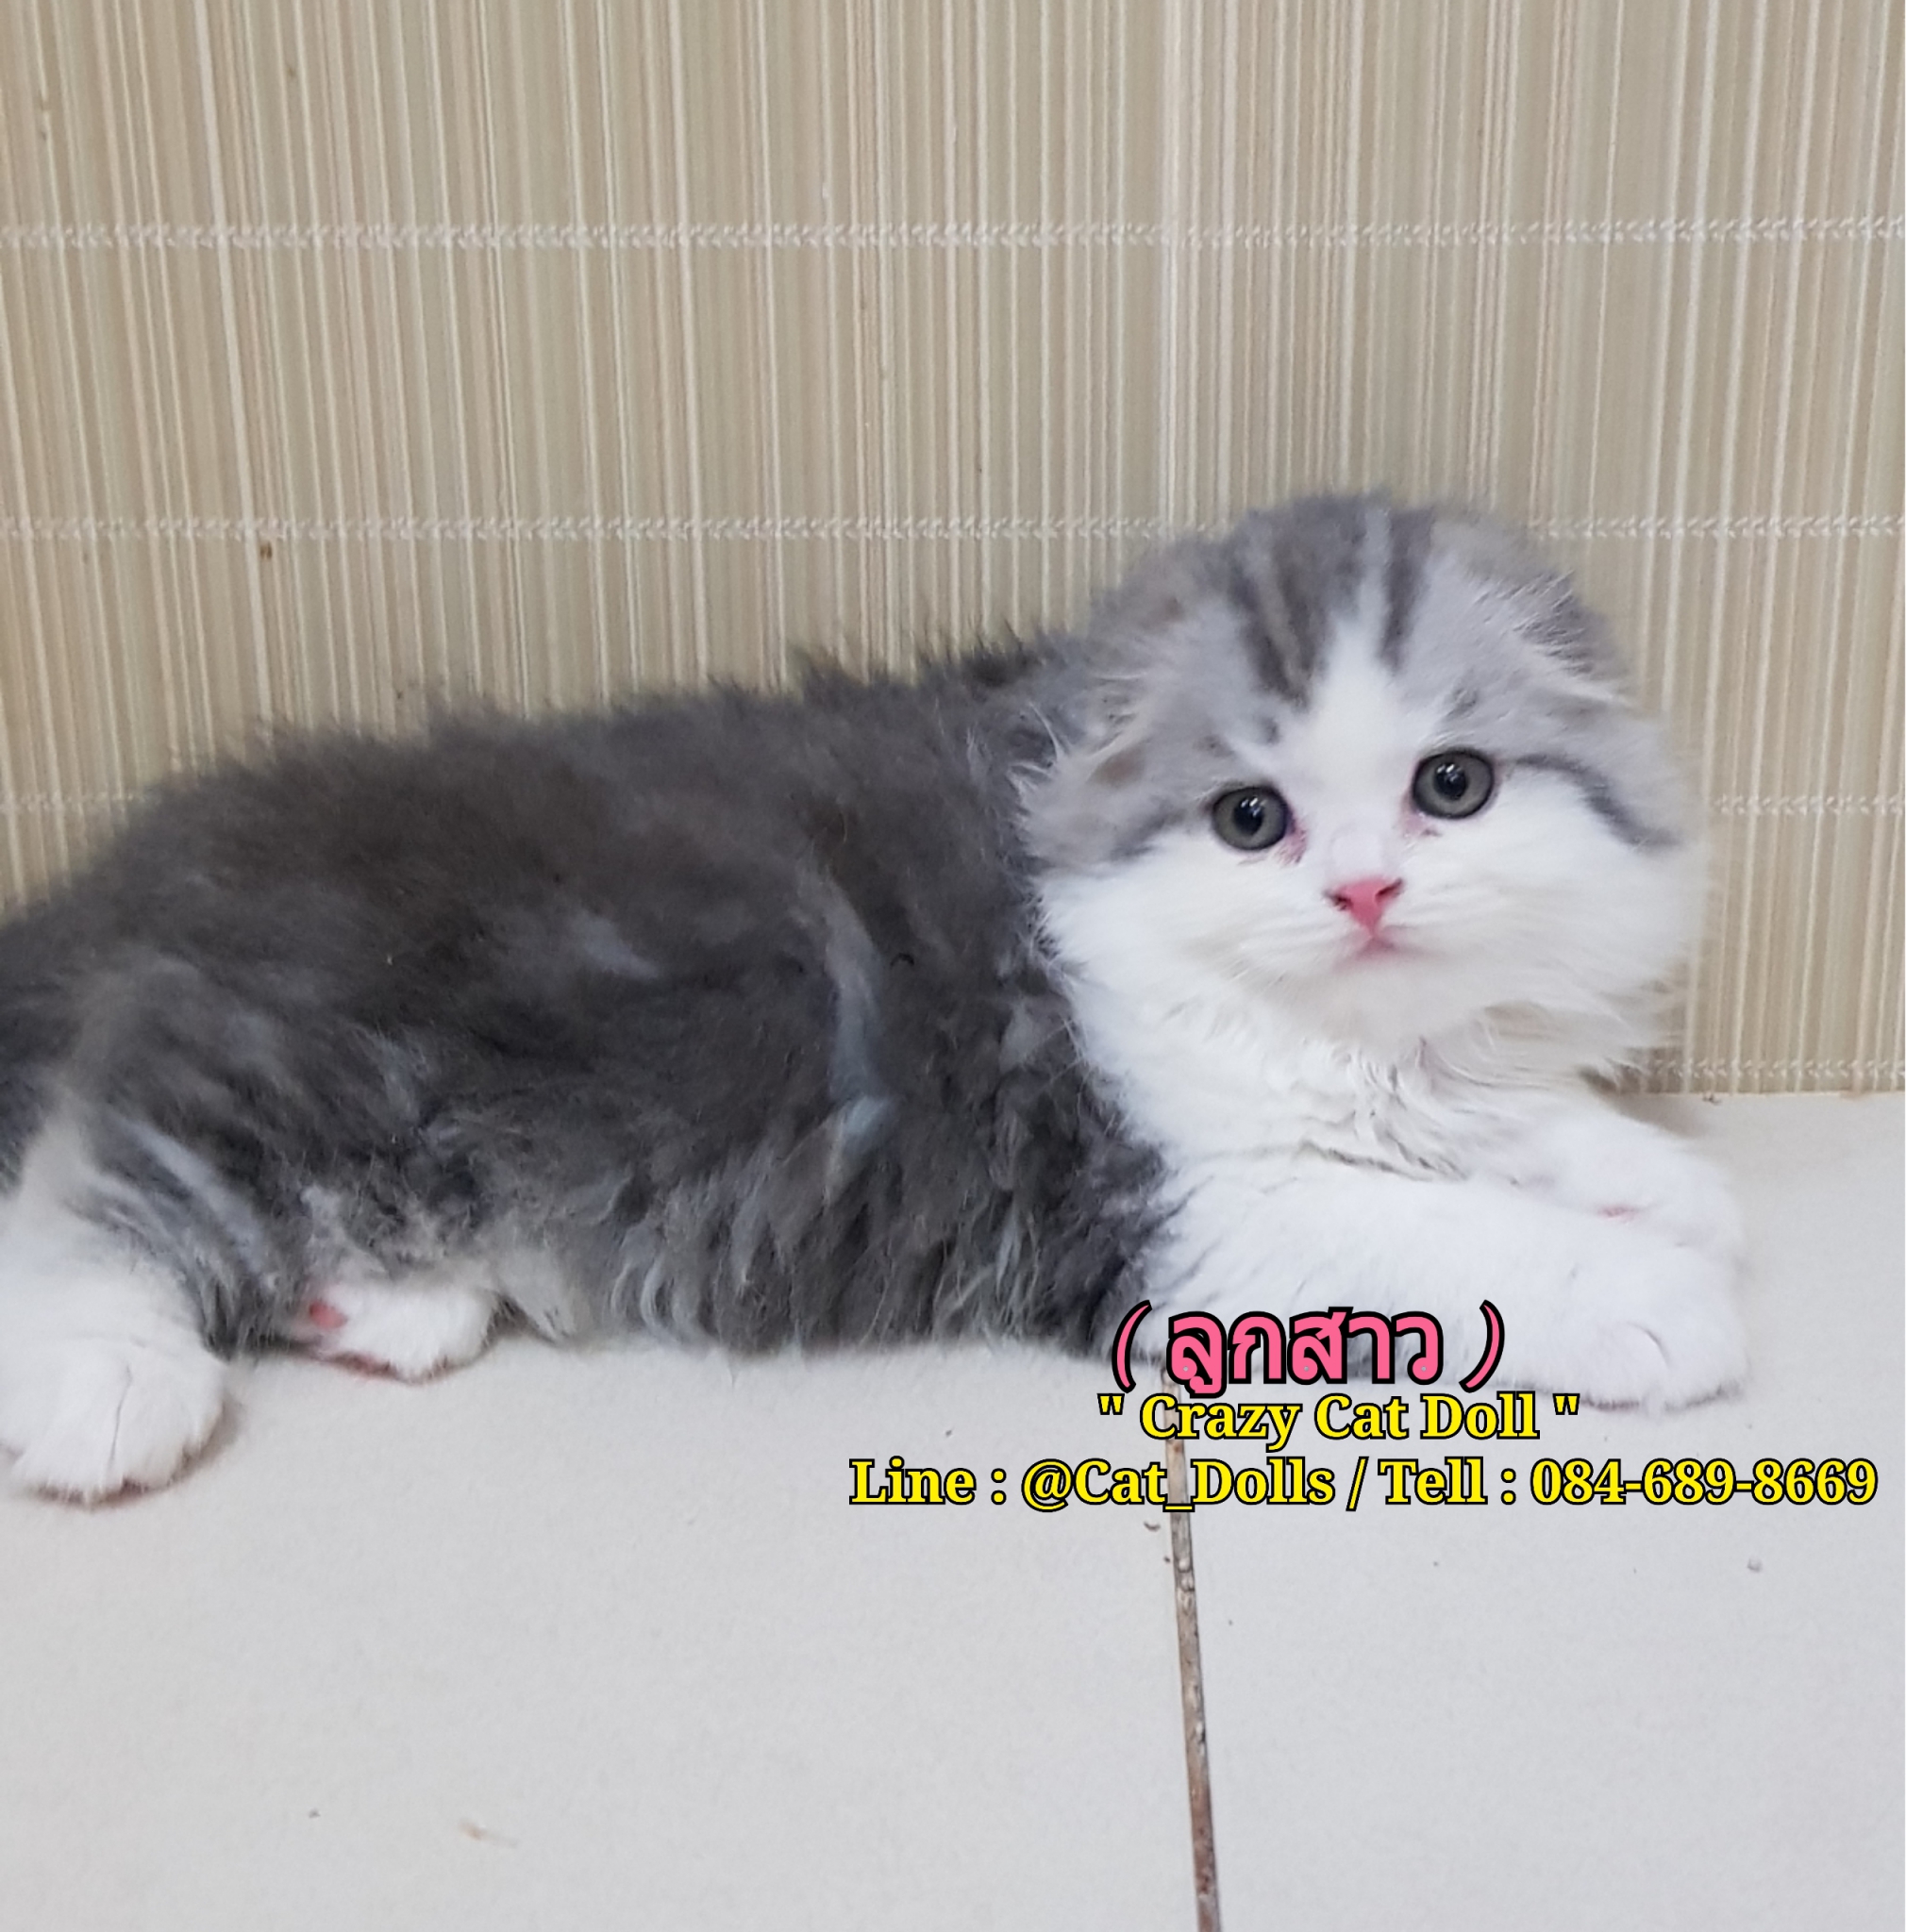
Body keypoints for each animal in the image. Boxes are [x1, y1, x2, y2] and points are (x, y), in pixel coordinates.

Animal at [0, 494, 1746, 1501]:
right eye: (1253, 816)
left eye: (1450, 787)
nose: (1367, 891)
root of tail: (167, 853)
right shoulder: (1189, 1211)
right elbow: (1453, 1232)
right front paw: (1662, 1294)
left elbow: (1513, 1125)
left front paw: (1660, 1180)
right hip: (295, 1055)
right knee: (88, 1180)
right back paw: (109, 1381)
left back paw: (379, 1303)